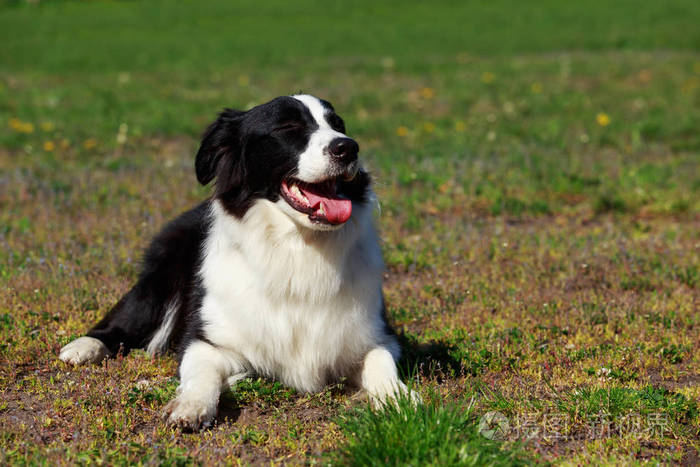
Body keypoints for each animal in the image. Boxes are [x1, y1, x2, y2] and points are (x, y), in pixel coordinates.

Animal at [60, 95, 412, 432]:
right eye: (288, 128)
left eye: (338, 125)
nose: (348, 147)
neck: (297, 248)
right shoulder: (206, 338)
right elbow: (201, 372)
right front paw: (190, 406)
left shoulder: (375, 336)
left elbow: (382, 364)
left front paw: (400, 400)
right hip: (160, 279)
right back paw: (83, 346)